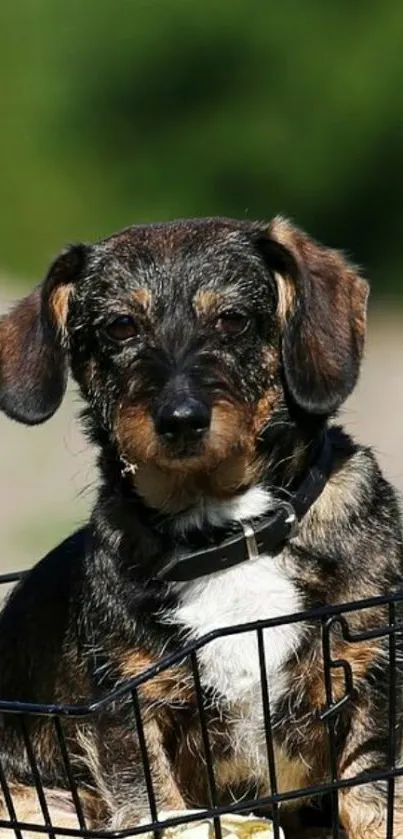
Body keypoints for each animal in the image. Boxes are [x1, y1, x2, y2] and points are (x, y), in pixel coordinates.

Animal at [0, 218, 402, 839]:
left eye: (232, 319)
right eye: (120, 326)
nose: (181, 419)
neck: (228, 534)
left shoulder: (369, 676)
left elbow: (368, 798)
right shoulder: (128, 710)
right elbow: (160, 810)